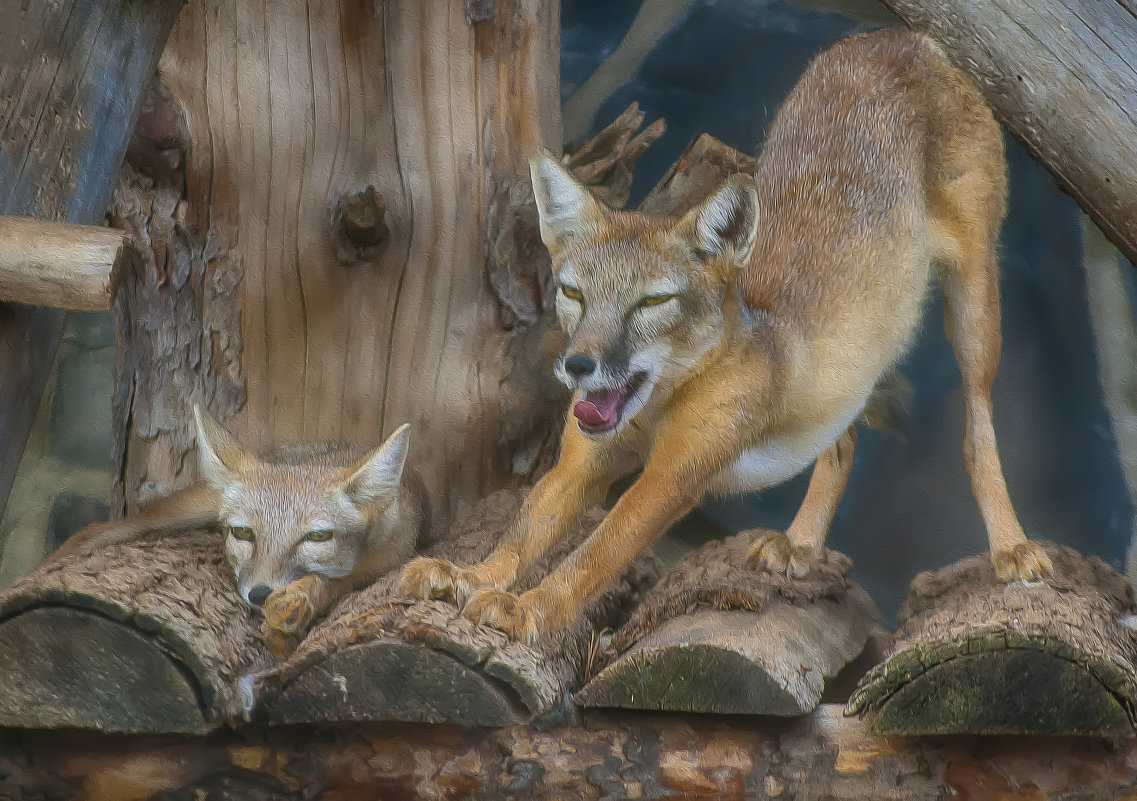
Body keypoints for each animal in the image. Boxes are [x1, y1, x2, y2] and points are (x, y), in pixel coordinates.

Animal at [57, 407, 425, 655]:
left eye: (317, 537)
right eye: (243, 533)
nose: (259, 594)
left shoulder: (389, 557)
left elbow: (332, 581)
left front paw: (296, 603)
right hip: (189, 507)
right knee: (99, 528)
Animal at [395, 31, 1050, 641]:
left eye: (651, 302)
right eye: (574, 294)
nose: (577, 365)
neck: (658, 407)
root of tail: (892, 39)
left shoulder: (670, 479)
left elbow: (591, 558)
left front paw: (528, 608)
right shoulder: (583, 464)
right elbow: (523, 535)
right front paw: (472, 575)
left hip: (974, 310)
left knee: (975, 428)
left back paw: (1011, 546)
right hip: (851, 364)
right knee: (844, 438)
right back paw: (802, 543)